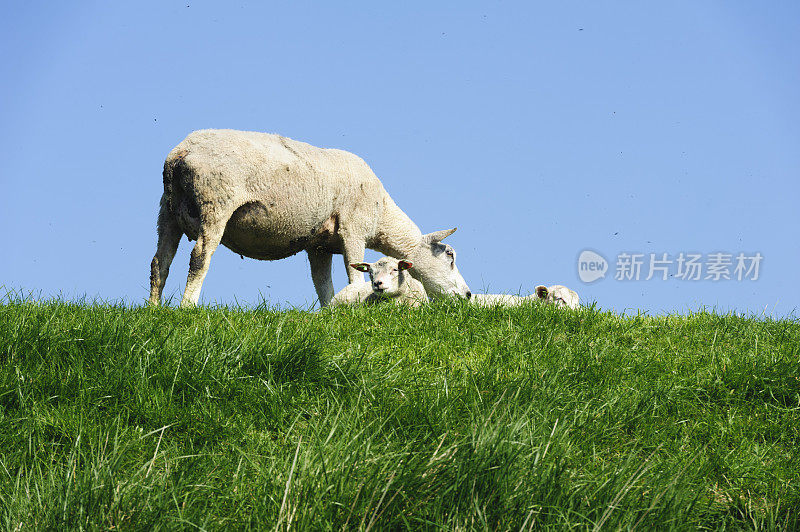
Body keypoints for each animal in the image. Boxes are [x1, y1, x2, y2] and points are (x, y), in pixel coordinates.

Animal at [148, 128, 472, 308]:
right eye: (450, 256)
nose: (468, 295)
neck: (382, 214)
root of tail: (179, 155)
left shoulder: (319, 246)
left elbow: (323, 285)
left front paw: (330, 313)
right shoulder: (353, 230)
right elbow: (355, 273)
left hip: (168, 211)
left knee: (160, 262)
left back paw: (153, 309)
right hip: (215, 202)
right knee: (200, 257)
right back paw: (188, 306)